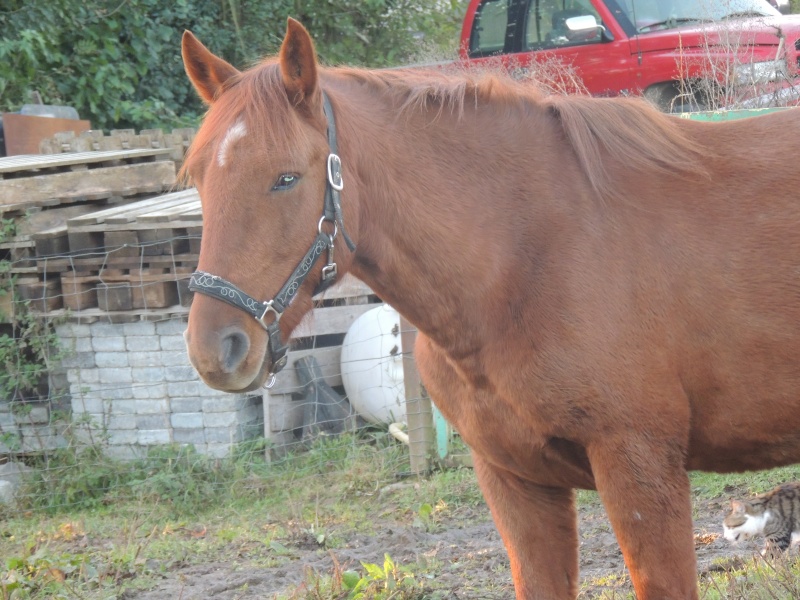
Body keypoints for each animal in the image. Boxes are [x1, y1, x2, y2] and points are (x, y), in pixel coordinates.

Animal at [180, 18, 800, 600]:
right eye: (200, 177)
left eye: (286, 178)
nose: (216, 350)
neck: (525, 262)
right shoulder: (514, 481)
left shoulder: (641, 467)